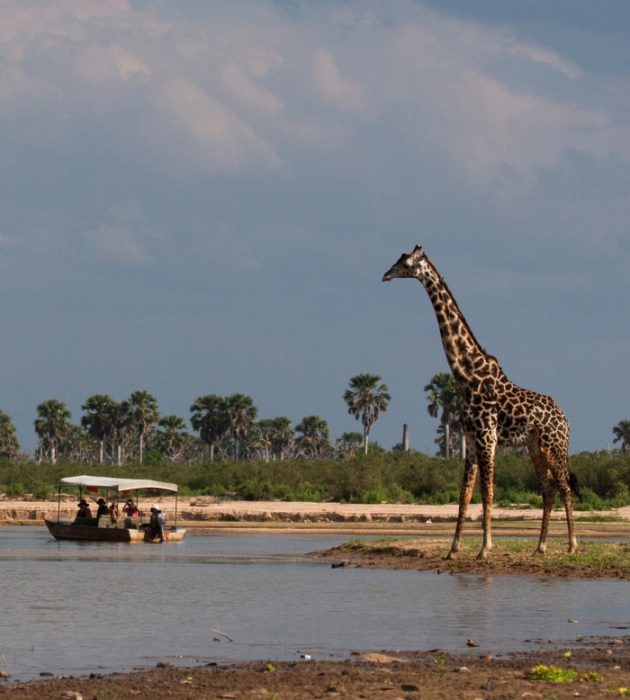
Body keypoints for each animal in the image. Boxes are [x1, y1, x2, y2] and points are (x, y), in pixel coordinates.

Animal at [382, 243, 580, 560]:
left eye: (406, 264)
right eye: (398, 261)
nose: (385, 275)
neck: (467, 377)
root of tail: (566, 418)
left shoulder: (488, 438)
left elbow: (488, 493)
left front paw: (485, 548)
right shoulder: (472, 440)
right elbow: (464, 494)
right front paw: (453, 549)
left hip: (554, 446)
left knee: (564, 485)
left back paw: (572, 545)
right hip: (534, 447)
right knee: (548, 488)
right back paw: (540, 546)